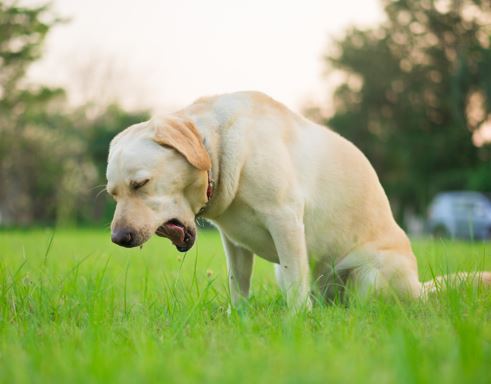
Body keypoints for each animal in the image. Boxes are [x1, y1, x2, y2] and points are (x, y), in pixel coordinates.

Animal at [108, 91, 491, 310]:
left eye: (141, 184)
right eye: (113, 192)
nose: (119, 238)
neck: (216, 147)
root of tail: (418, 289)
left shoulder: (285, 220)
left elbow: (295, 286)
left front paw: (294, 324)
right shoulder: (234, 243)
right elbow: (238, 284)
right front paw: (239, 319)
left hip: (369, 277)